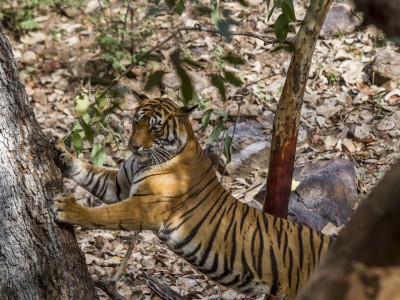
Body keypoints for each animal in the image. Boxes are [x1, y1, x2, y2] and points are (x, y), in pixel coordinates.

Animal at [54, 94, 332, 298]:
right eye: (135, 122)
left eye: (155, 128)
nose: (133, 146)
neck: (143, 160)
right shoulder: (119, 185)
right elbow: (92, 174)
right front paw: (62, 154)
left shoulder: (145, 206)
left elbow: (105, 214)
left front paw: (68, 209)